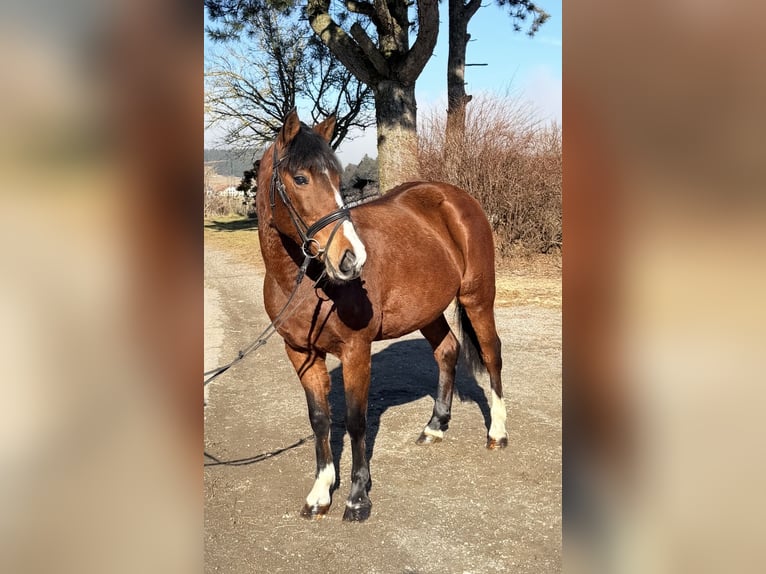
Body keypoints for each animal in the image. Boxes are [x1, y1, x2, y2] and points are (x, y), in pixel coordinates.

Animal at [256, 109, 507, 522]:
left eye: (337, 179)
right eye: (301, 178)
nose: (350, 258)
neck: (306, 282)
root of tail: (455, 197)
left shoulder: (356, 351)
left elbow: (356, 421)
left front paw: (358, 498)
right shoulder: (301, 353)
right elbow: (320, 419)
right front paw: (320, 493)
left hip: (477, 298)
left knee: (491, 354)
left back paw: (498, 433)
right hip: (428, 310)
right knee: (448, 350)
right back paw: (435, 426)